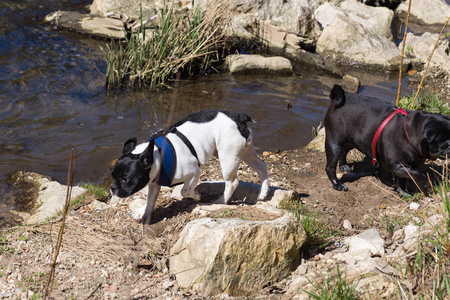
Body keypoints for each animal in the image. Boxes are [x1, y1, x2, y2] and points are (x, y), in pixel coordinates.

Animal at [110, 109, 268, 224]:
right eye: (112, 176)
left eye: (125, 179)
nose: (112, 188)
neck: (157, 154)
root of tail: (238, 118)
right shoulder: (154, 183)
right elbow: (150, 200)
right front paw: (144, 211)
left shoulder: (194, 173)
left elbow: (185, 191)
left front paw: (196, 195)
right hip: (245, 151)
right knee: (261, 166)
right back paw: (263, 193)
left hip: (228, 156)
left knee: (232, 182)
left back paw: (220, 201)